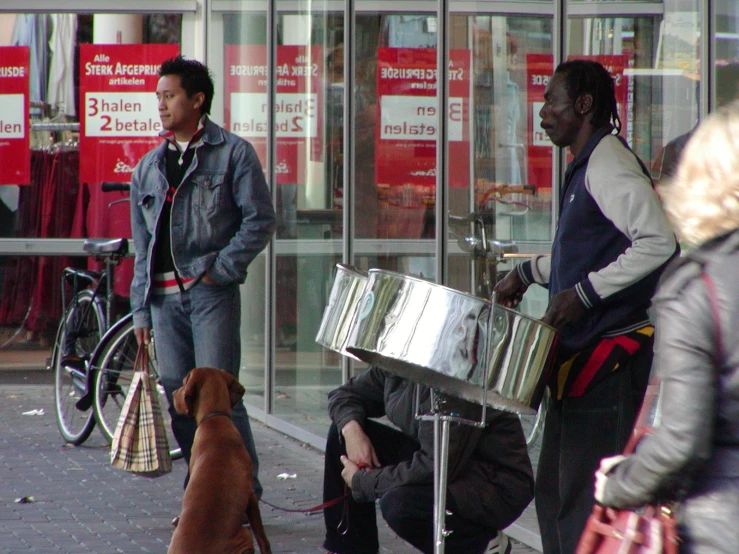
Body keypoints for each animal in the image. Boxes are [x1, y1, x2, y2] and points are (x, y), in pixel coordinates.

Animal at [168, 364, 272, 548]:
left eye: (184, 381)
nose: (173, 393)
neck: (215, 417)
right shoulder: (250, 496)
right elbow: (262, 537)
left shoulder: (251, 496)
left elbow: (262, 537)